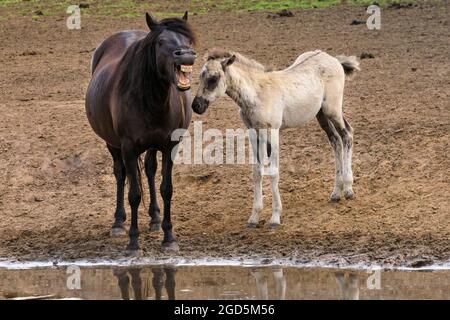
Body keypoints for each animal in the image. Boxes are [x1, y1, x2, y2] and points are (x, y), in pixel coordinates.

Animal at [85, 11, 197, 255]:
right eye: (161, 42)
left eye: (188, 40)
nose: (186, 55)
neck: (151, 100)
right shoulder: (128, 147)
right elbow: (134, 194)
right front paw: (133, 243)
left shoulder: (169, 146)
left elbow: (166, 189)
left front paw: (169, 237)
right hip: (113, 144)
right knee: (120, 174)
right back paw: (118, 223)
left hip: (153, 146)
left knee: (149, 170)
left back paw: (154, 219)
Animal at [192, 48, 360, 228]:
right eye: (200, 77)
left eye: (213, 78)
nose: (196, 106)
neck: (256, 94)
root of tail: (332, 58)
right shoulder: (254, 133)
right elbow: (257, 172)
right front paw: (254, 218)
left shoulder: (272, 133)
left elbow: (273, 173)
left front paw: (275, 218)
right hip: (321, 114)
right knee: (335, 141)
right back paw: (336, 192)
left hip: (332, 110)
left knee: (347, 134)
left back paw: (348, 189)